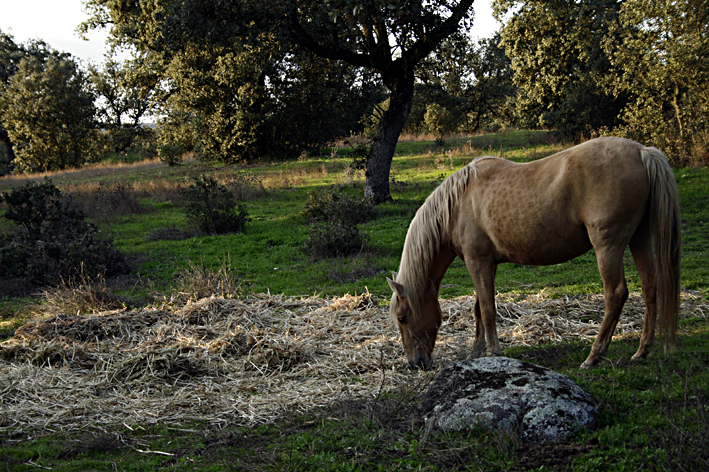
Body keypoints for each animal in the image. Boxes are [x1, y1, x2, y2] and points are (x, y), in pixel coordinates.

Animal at [388, 136, 680, 368]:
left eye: (403, 317)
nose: (415, 363)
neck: (458, 203)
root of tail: (641, 152)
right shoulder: (485, 264)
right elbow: (479, 310)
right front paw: (475, 355)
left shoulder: (477, 261)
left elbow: (488, 309)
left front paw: (493, 353)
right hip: (640, 238)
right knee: (650, 287)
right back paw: (642, 351)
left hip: (608, 245)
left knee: (616, 294)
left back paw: (594, 356)